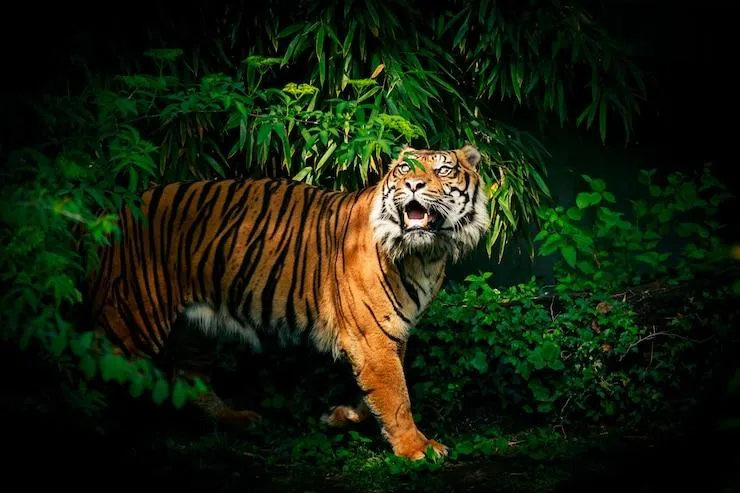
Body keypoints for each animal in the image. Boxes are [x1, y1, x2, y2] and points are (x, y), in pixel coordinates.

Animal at [84, 144, 491, 460]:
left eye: (443, 169)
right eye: (405, 169)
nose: (412, 185)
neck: (426, 253)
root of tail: (111, 208)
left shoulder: (389, 335)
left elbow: (377, 394)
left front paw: (337, 417)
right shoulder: (373, 338)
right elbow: (396, 396)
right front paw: (417, 448)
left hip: (194, 329)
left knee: (188, 379)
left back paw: (239, 419)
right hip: (131, 317)